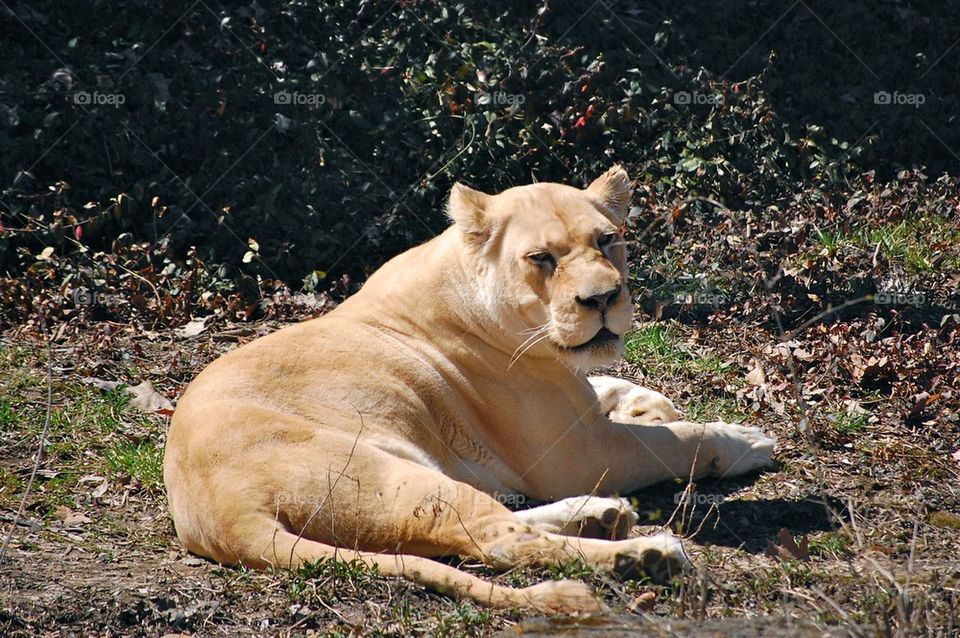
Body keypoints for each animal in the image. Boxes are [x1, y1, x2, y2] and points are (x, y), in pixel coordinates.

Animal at [163, 166, 776, 613]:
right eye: (542, 258)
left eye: (607, 241)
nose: (603, 298)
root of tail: (220, 515)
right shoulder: (580, 453)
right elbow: (676, 442)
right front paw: (744, 440)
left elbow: (605, 383)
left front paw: (648, 402)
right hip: (390, 473)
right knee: (495, 539)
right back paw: (645, 554)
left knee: (492, 522)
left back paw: (604, 515)